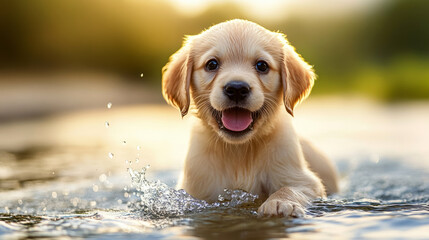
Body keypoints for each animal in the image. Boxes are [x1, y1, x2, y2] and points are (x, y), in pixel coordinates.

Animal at [160, 19, 338, 218]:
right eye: (211, 64)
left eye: (262, 66)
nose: (237, 88)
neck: (239, 150)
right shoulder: (195, 189)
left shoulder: (304, 180)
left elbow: (288, 188)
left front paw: (280, 203)